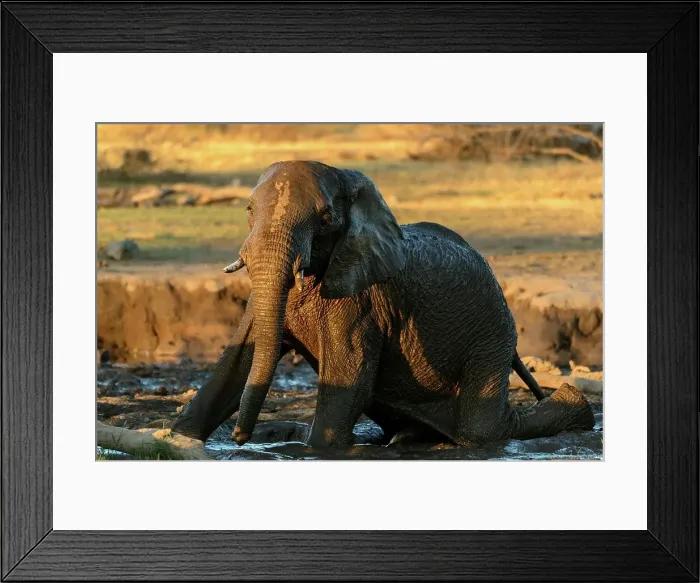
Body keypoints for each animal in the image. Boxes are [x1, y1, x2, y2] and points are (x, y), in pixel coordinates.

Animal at [172, 160, 594, 448]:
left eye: (325, 218)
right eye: (248, 211)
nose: (240, 437)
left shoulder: (360, 300)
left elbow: (349, 379)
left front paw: (314, 448)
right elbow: (234, 364)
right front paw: (178, 437)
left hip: (491, 332)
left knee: (482, 428)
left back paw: (577, 406)